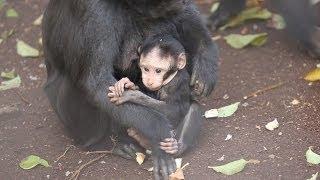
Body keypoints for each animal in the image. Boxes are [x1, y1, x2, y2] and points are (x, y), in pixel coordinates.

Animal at [42, 0, 218, 179]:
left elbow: (185, 13)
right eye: (147, 69)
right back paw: (109, 144)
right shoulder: (94, 8)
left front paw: (206, 61)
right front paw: (159, 133)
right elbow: (96, 83)